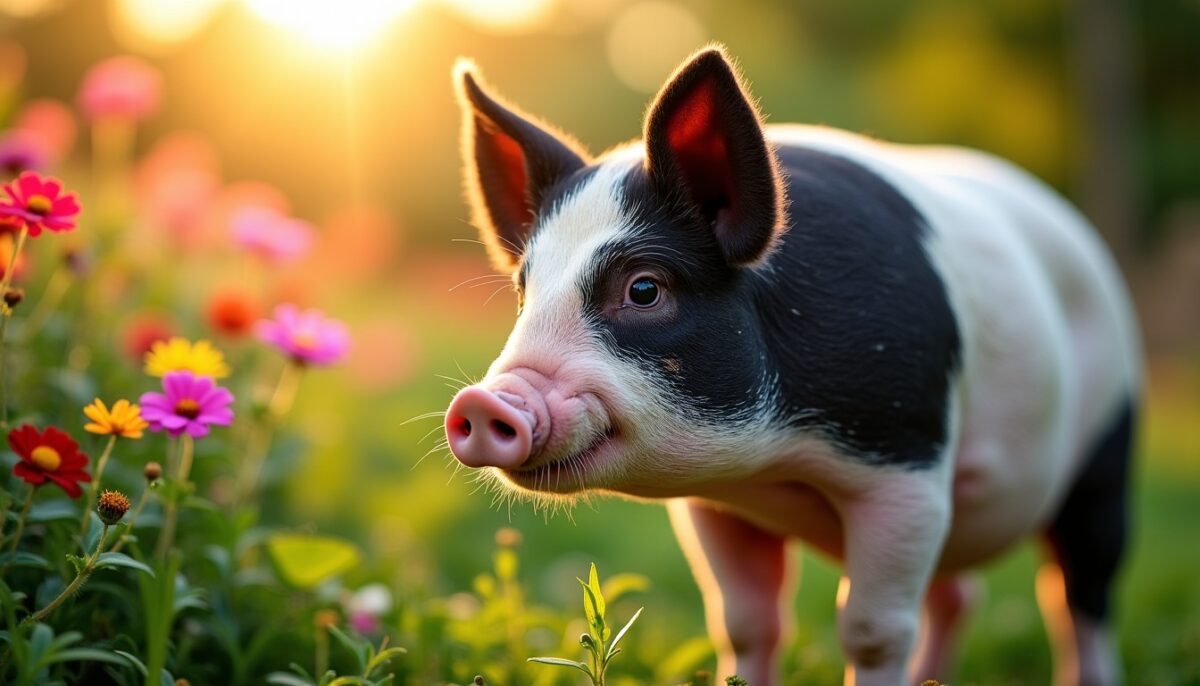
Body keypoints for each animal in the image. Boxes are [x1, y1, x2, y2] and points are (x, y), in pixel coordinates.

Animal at [444, 46, 1140, 686]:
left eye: (644, 289)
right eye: (525, 291)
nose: (482, 401)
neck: (779, 459)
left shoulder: (907, 461)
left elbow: (873, 630)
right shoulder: (713, 504)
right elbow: (745, 623)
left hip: (1108, 446)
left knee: (1079, 591)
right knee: (960, 594)